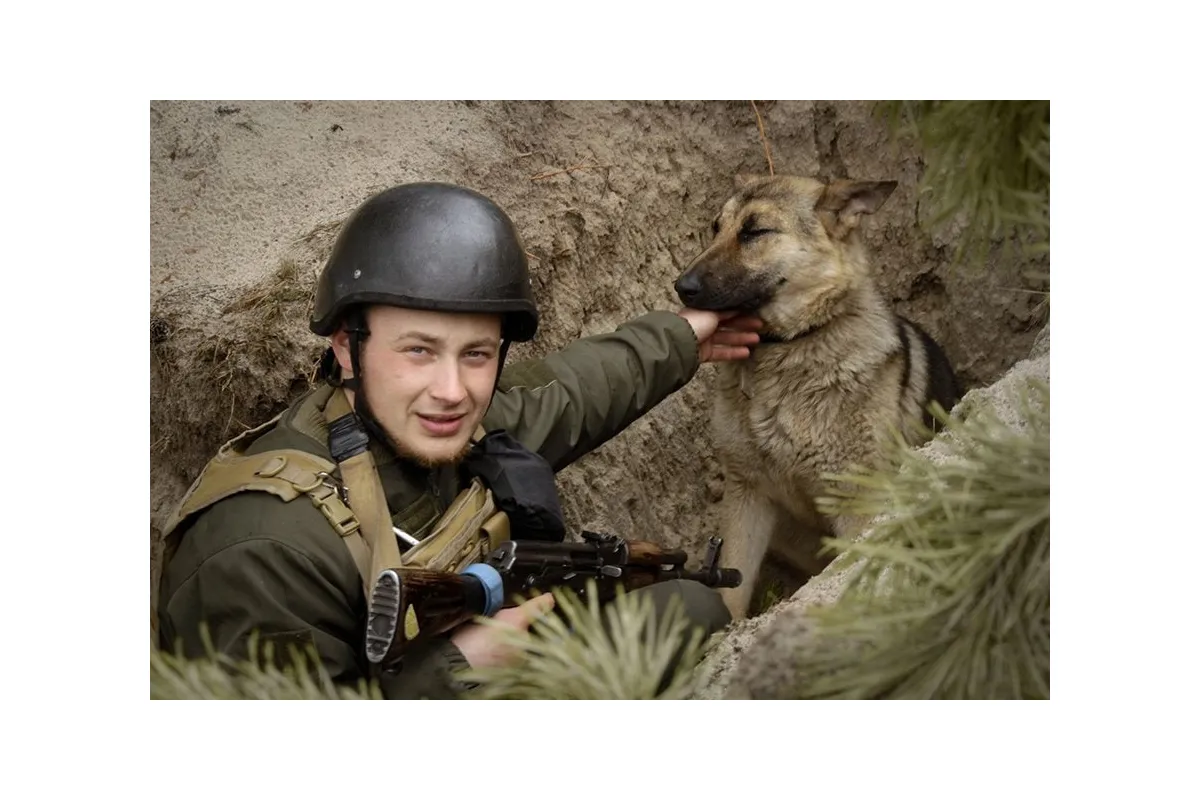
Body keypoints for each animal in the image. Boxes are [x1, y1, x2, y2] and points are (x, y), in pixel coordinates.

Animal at [676, 175, 964, 618]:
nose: (681, 287)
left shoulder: (857, 502)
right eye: (715, 228)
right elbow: (731, 588)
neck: (789, 345)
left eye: (755, 232)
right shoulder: (747, 496)